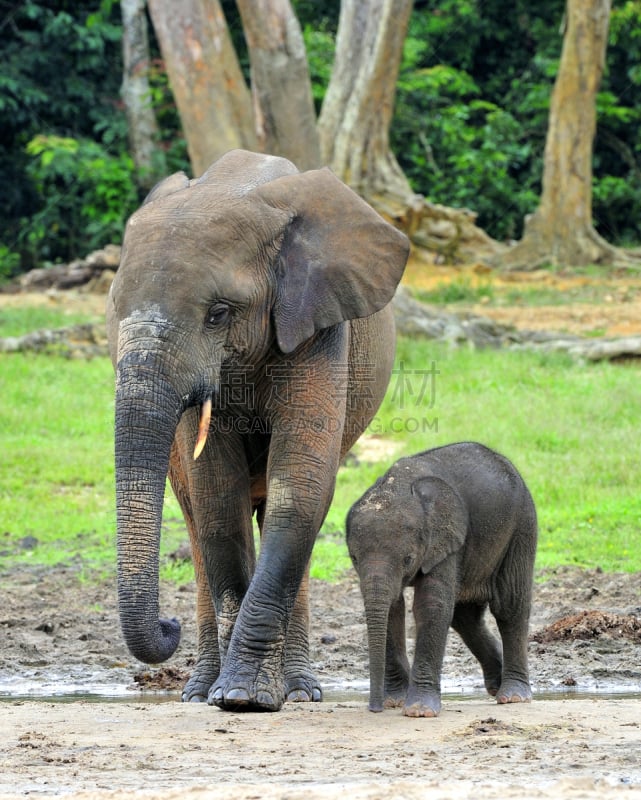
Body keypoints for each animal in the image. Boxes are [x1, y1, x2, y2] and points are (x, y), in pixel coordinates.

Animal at [104, 150, 404, 712]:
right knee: (197, 520)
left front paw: (245, 696)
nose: (167, 625)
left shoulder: (319, 323)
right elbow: (218, 500)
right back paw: (199, 691)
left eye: (218, 314)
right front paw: (230, 694)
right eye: (114, 312)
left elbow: (299, 488)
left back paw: (301, 691)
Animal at [344, 440, 536, 716]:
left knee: (509, 606)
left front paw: (419, 711)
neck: (397, 486)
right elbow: (393, 607)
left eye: (408, 559)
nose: (375, 709)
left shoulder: (445, 539)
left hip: (522, 524)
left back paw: (512, 696)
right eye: (354, 558)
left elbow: (431, 605)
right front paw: (395, 701)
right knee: (465, 617)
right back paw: (496, 684)